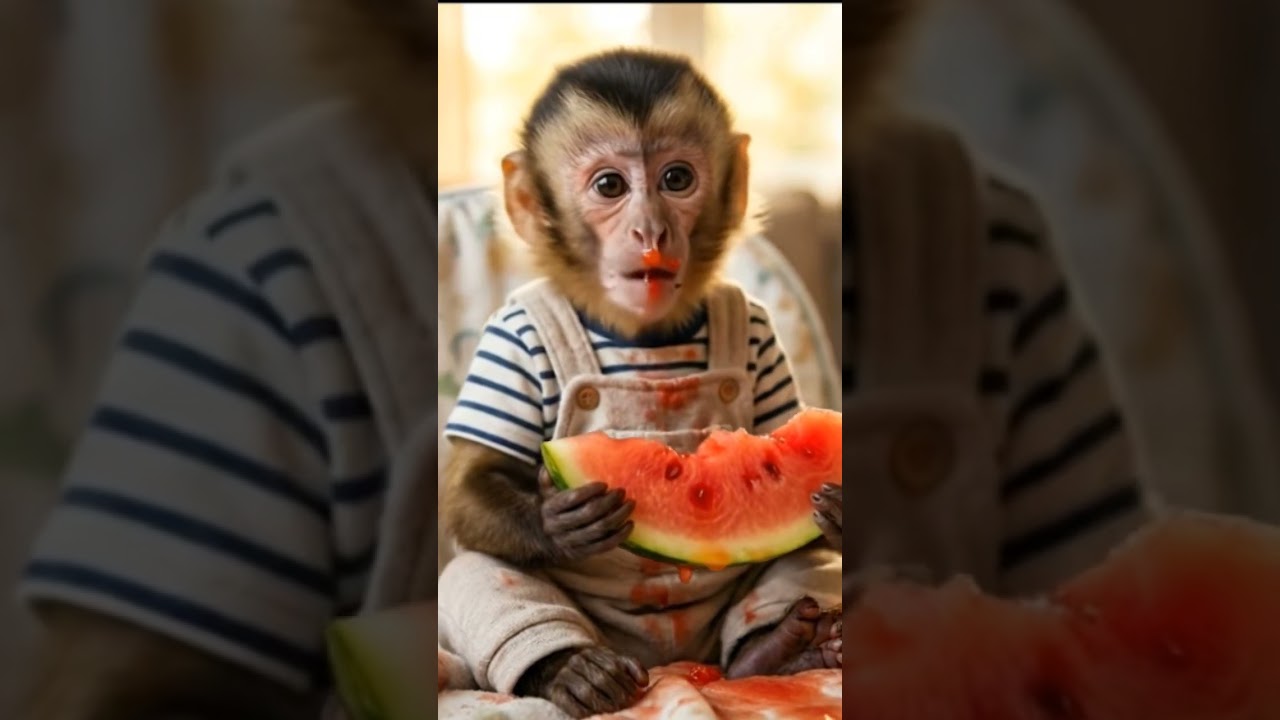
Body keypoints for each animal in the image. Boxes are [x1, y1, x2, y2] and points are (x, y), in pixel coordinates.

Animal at [436, 48, 843, 718]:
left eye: (677, 179)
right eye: (610, 186)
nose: (651, 232)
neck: (637, 335)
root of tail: (665, 657)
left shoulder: (761, 332)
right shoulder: (509, 341)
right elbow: (474, 481)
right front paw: (556, 523)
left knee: (803, 565)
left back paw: (780, 646)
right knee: (483, 576)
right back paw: (576, 670)